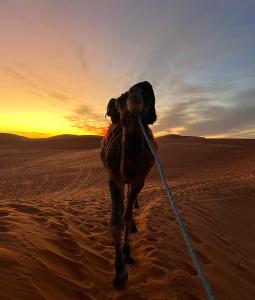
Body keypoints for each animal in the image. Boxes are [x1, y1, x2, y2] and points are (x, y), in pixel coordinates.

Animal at [100, 81, 156, 286]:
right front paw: (119, 272)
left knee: (130, 205)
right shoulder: (114, 178)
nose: (136, 88)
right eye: (120, 100)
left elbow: (126, 216)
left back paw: (132, 225)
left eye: (147, 96)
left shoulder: (139, 179)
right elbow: (116, 221)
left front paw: (128, 253)